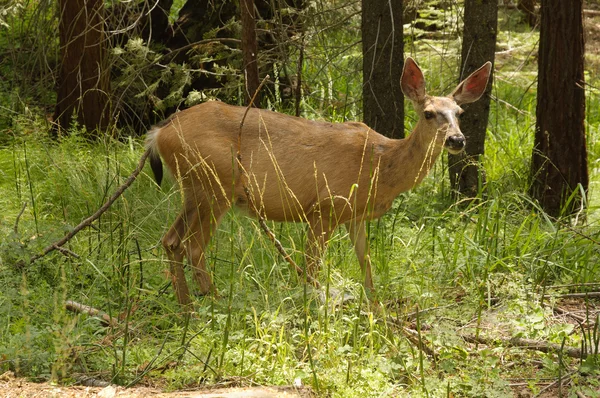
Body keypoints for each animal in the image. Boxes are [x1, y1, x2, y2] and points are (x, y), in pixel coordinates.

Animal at [146, 57, 492, 304]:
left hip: (193, 188)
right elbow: (312, 268)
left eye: (460, 112)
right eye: (429, 113)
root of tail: (159, 132)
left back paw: (187, 307)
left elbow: (366, 265)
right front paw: (314, 313)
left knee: (170, 240)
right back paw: (214, 303)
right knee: (193, 246)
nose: (457, 140)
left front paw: (376, 311)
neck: (382, 165)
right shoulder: (324, 208)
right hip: (216, 182)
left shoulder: (354, 216)